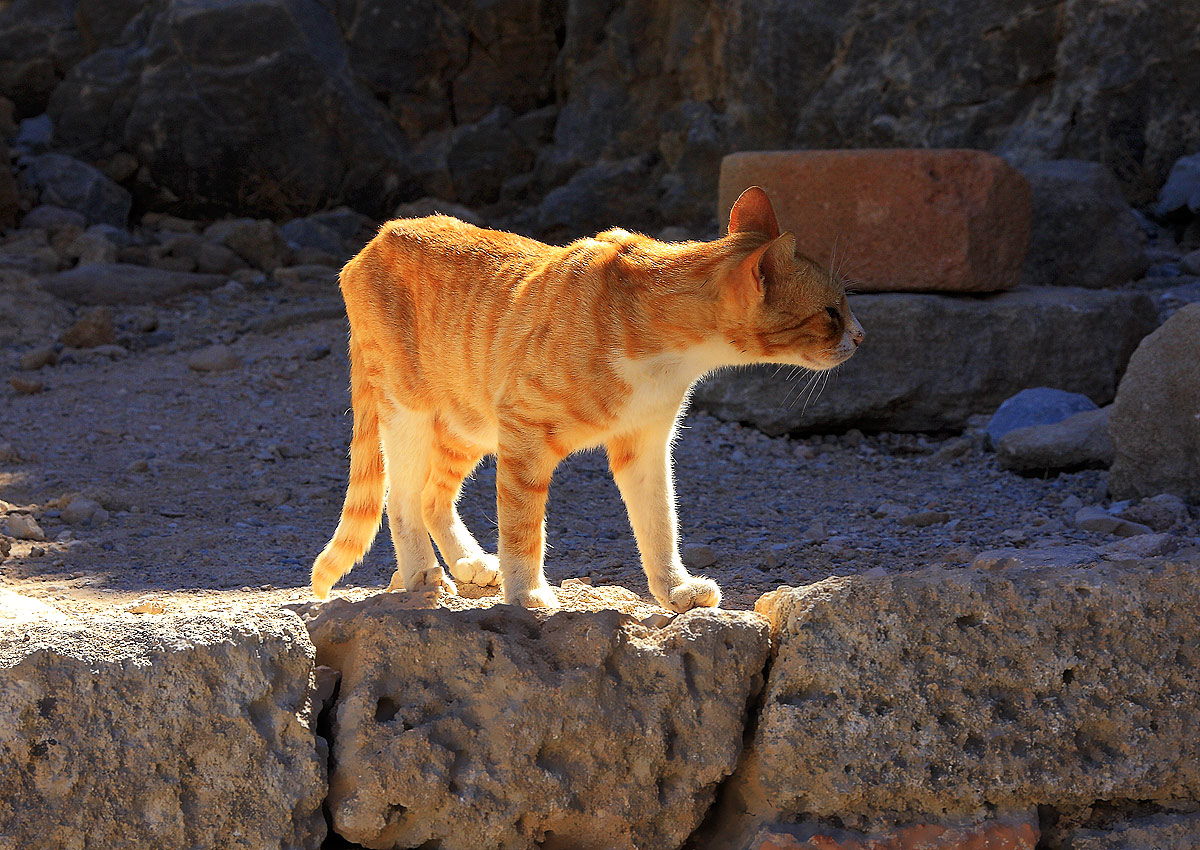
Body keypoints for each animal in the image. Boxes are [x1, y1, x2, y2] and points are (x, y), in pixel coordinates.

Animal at [309, 186, 864, 609]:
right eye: (832, 312)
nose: (861, 336)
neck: (669, 349)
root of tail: (376, 239)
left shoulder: (645, 445)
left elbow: (660, 524)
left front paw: (675, 590)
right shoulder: (524, 434)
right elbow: (522, 528)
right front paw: (526, 594)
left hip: (470, 423)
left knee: (431, 495)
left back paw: (469, 562)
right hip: (411, 413)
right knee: (401, 498)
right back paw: (423, 575)